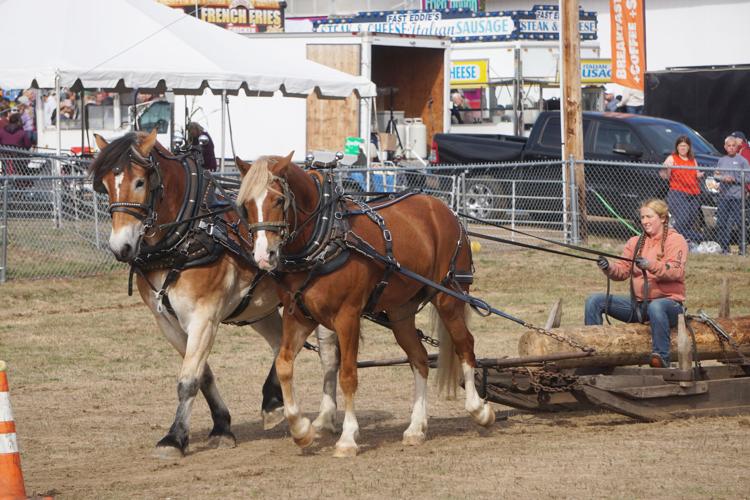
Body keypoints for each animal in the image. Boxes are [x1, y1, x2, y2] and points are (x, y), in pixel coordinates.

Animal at [89, 130, 340, 459]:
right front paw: (221, 426)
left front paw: (173, 438)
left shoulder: (204, 316)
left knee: (328, 355)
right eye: (105, 184)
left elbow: (188, 379)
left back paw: (326, 417)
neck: (186, 235)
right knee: (281, 347)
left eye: (140, 182)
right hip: (260, 308)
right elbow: (203, 374)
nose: (121, 248)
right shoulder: (168, 321)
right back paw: (273, 402)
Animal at [235, 153, 495, 457]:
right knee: (419, 358)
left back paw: (479, 410)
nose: (264, 256)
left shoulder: (347, 316)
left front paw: (347, 438)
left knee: (465, 345)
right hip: (400, 313)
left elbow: (348, 375)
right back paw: (416, 428)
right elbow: (284, 364)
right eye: (246, 205)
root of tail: (445, 210)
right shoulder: (299, 315)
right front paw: (301, 430)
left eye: (277, 200)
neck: (324, 236)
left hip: (450, 297)